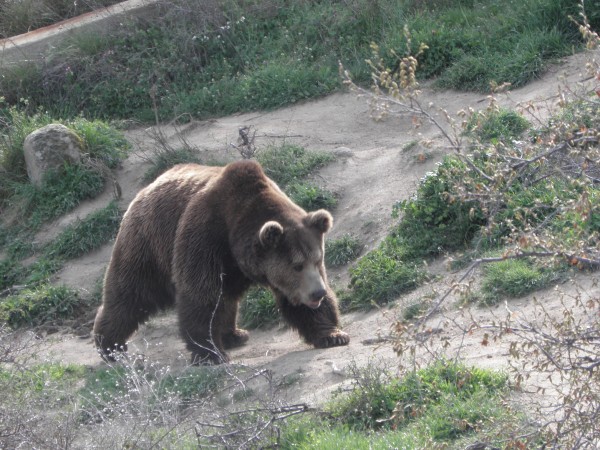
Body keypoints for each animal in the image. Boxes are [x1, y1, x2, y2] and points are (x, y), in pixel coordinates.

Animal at [91, 160, 350, 364]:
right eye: (297, 265)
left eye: (317, 260)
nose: (317, 293)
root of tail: (145, 189)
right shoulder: (205, 237)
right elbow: (201, 294)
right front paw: (210, 353)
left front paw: (333, 335)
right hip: (148, 244)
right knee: (131, 294)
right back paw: (110, 346)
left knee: (226, 298)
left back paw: (234, 334)